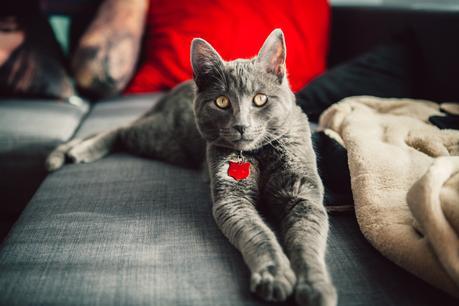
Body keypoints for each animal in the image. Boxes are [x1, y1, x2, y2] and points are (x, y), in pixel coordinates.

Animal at [46, 28, 338, 306]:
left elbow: (306, 240)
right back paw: (81, 150)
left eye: (260, 99)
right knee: (120, 129)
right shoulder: (231, 199)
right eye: (222, 101)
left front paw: (315, 287)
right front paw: (274, 275)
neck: (258, 154)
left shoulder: (302, 195)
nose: (241, 125)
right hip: (163, 138)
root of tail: (174, 90)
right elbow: (259, 234)